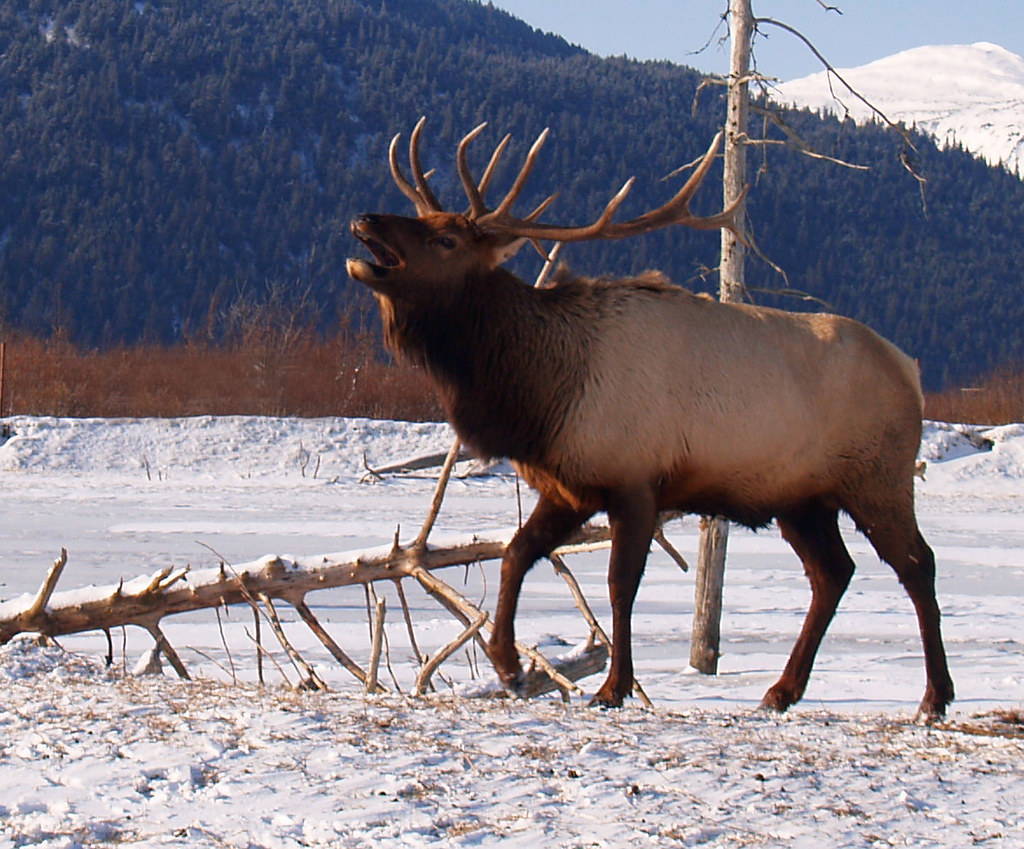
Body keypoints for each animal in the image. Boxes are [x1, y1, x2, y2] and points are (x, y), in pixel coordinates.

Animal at [347, 118, 954, 718]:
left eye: (446, 239)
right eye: (426, 221)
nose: (365, 217)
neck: (543, 392)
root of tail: (911, 372)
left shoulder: (635, 481)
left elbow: (621, 585)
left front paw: (613, 687)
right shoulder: (570, 486)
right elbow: (517, 553)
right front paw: (509, 665)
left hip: (877, 477)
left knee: (916, 563)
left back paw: (933, 696)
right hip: (803, 499)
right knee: (833, 572)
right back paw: (782, 690)